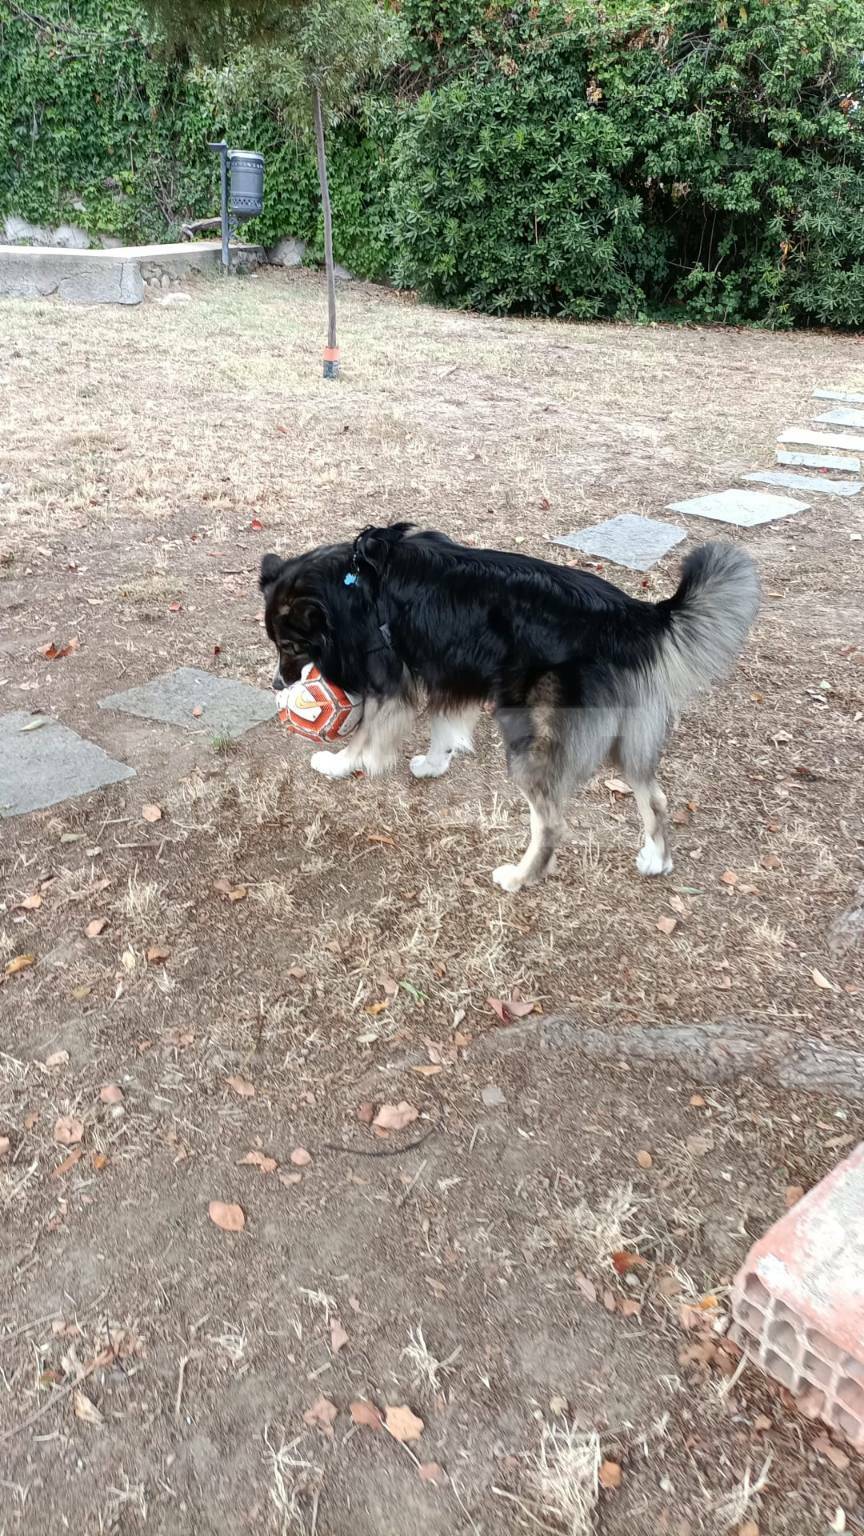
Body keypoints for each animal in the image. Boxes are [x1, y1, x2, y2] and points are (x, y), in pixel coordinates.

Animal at [258, 525, 756, 897]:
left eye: (289, 645)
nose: (278, 685)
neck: (353, 583)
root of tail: (631, 615)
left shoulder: (391, 676)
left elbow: (366, 734)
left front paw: (340, 763)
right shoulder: (449, 667)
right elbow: (444, 724)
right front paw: (434, 763)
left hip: (530, 734)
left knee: (551, 822)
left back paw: (519, 877)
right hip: (628, 734)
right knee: (654, 796)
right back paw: (655, 858)